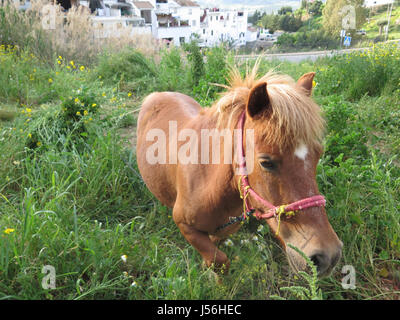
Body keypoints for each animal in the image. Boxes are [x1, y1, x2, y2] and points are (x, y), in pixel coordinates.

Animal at [136, 65, 342, 278]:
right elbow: (219, 261)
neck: (209, 183)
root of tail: (158, 94)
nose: (328, 256)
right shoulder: (184, 224)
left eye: (318, 154)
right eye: (266, 162)